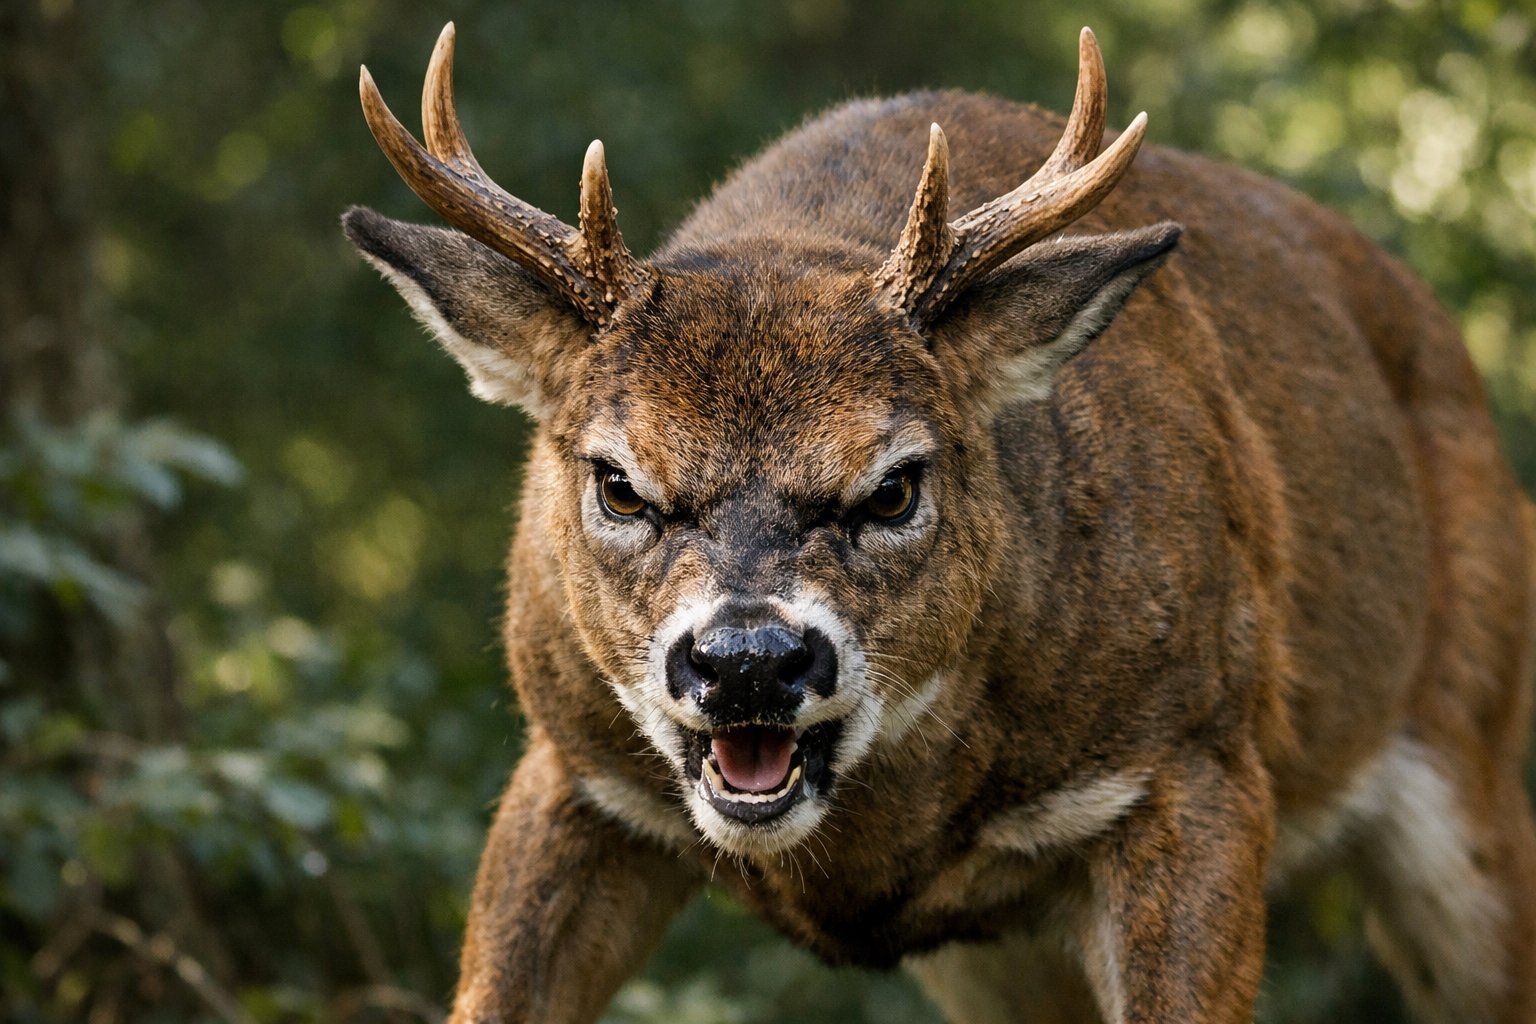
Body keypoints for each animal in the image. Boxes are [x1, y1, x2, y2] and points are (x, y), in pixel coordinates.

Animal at [342, 22, 1536, 1024]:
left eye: (895, 485)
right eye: (619, 482)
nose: (748, 662)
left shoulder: (1198, 760)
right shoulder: (569, 766)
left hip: (1468, 758)